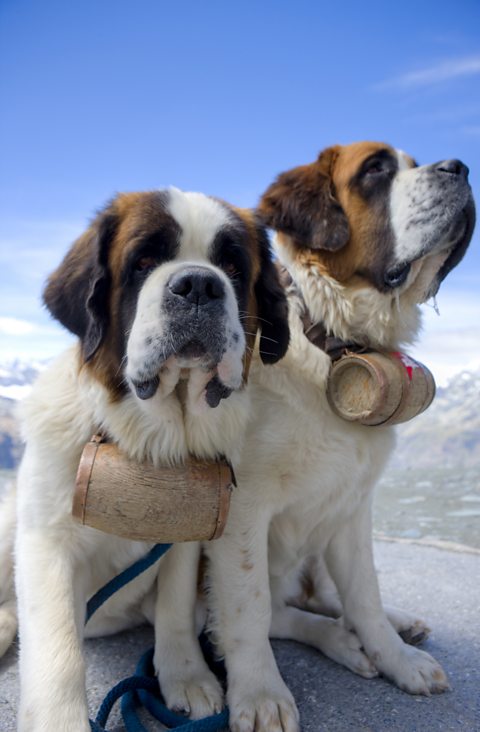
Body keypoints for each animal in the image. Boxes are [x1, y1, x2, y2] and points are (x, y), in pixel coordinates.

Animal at [0, 190, 288, 732]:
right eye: (143, 262)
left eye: (232, 267)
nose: (198, 284)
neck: (147, 439)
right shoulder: (46, 542)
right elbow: (57, 649)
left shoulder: (185, 532)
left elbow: (174, 609)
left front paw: (187, 677)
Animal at [193, 143, 474, 732]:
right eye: (376, 169)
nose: (459, 168)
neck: (333, 345)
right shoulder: (240, 509)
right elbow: (249, 608)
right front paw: (260, 694)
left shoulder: (352, 506)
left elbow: (364, 591)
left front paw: (397, 658)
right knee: (277, 613)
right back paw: (341, 643)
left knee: (325, 595)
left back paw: (394, 625)